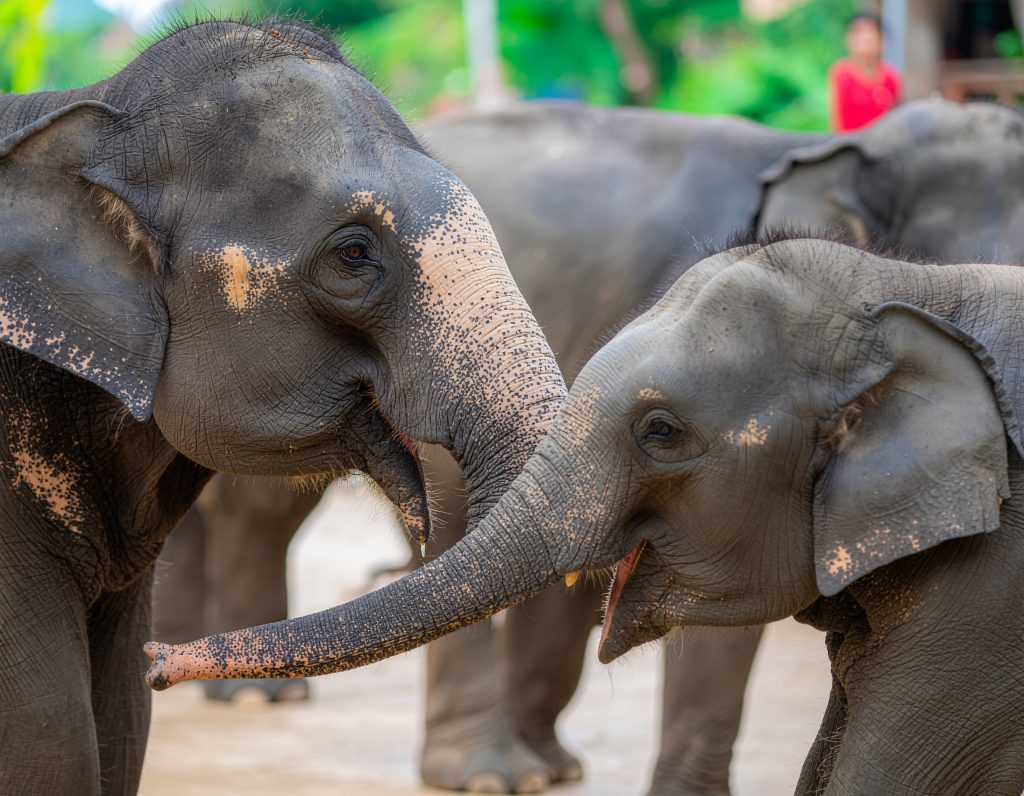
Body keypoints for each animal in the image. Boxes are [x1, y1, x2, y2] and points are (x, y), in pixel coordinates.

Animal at [0, 19, 566, 795]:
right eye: (354, 254)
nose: (161, 663)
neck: (96, 110)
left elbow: (119, 725)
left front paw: (138, 676)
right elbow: (48, 735)